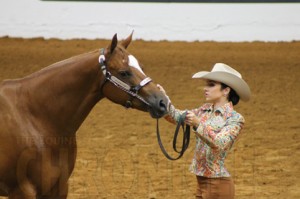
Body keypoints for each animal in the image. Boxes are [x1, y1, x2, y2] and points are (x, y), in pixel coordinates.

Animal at [0, 33, 169, 198]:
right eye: (124, 73)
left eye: (141, 67)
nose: (162, 102)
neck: (35, 118)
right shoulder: (21, 191)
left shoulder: (59, 187)